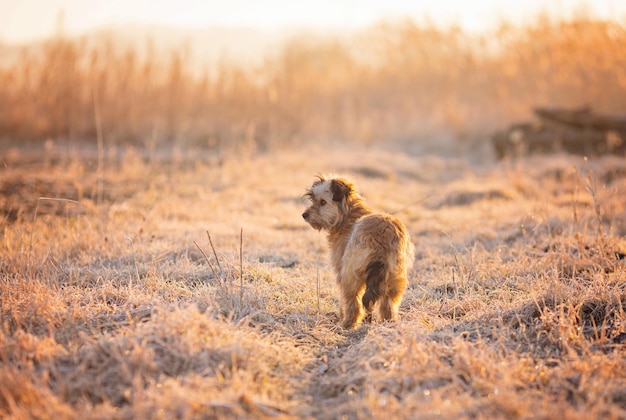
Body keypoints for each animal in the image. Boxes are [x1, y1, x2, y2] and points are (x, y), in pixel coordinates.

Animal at [302, 174, 414, 328]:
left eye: (323, 202)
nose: (304, 215)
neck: (347, 216)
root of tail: (381, 239)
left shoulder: (341, 270)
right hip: (396, 277)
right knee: (388, 304)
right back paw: (389, 323)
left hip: (350, 276)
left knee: (353, 302)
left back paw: (347, 324)